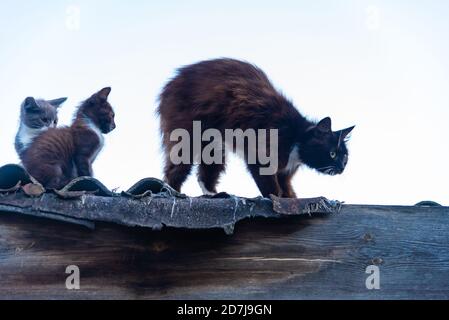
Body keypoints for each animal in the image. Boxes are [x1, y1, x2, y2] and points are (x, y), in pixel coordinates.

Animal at [158, 58, 354, 198]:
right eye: (332, 153)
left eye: (345, 158)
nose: (341, 168)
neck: (296, 137)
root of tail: (171, 81)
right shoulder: (260, 153)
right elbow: (271, 187)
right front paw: (275, 199)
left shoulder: (285, 172)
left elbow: (286, 188)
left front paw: (290, 198)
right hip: (188, 135)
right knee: (174, 169)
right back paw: (174, 193)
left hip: (214, 146)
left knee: (206, 173)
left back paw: (214, 195)